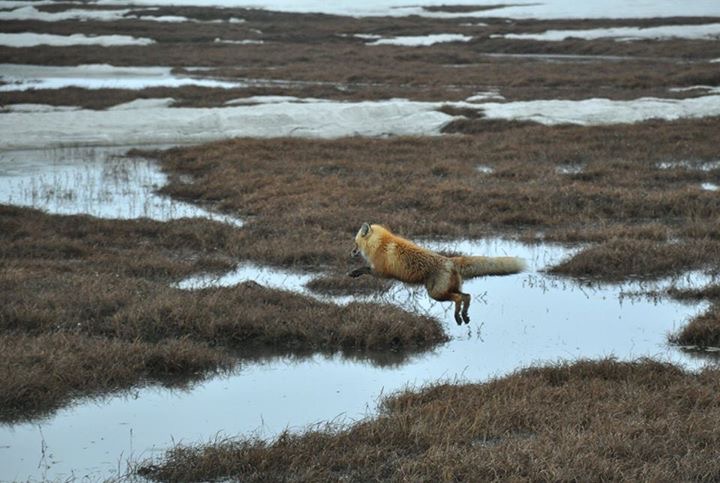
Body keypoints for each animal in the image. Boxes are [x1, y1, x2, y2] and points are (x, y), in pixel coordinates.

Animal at [349, 223, 525, 325]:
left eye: (355, 242)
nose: (351, 253)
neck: (380, 244)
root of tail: (450, 261)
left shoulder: (381, 272)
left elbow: (365, 269)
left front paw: (354, 272)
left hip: (436, 293)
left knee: (458, 298)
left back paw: (458, 317)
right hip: (447, 290)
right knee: (467, 296)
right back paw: (464, 316)